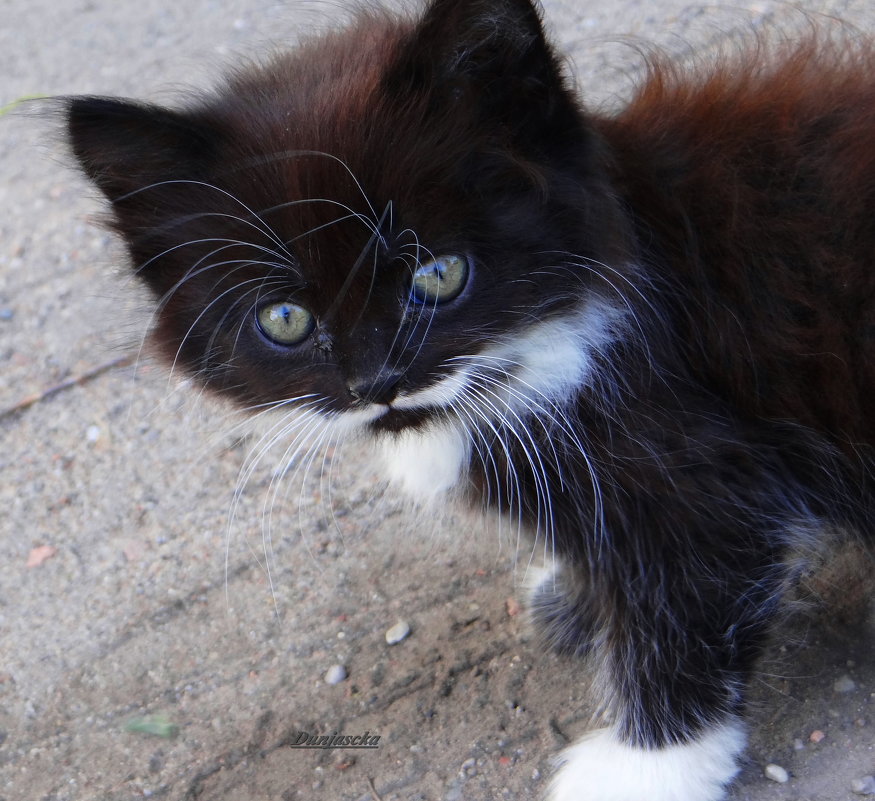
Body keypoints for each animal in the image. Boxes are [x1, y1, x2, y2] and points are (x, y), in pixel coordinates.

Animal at [66, 1, 875, 800]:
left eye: (438, 275)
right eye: (285, 320)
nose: (377, 382)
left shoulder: (699, 466)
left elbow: (691, 595)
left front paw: (639, 768)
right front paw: (577, 603)